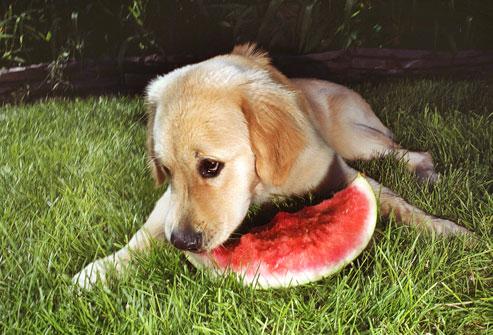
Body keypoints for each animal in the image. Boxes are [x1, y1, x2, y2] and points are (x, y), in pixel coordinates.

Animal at [71, 42, 468, 288]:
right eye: (166, 171)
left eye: (211, 166)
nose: (182, 242)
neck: (262, 186)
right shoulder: (169, 203)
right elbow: (142, 235)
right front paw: (102, 269)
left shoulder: (341, 171)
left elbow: (398, 205)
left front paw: (444, 229)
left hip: (357, 141)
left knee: (407, 151)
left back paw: (425, 172)